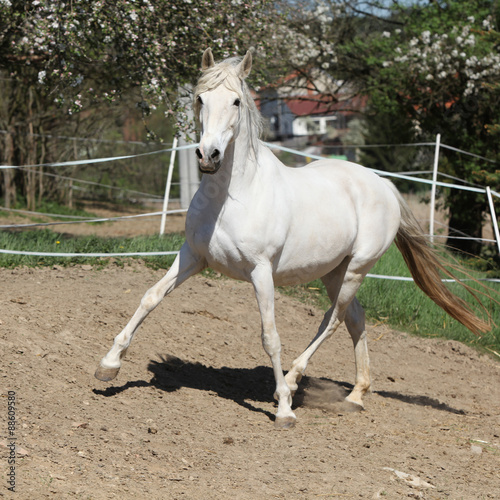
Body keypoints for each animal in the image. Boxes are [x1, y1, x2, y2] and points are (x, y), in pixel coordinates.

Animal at [94, 48, 488, 428]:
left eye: (236, 101)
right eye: (201, 98)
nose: (208, 156)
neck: (233, 196)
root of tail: (384, 185)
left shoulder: (260, 271)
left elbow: (270, 336)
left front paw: (284, 410)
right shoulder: (193, 255)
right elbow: (150, 297)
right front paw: (109, 365)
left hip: (357, 269)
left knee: (333, 320)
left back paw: (294, 381)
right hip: (334, 272)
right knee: (355, 320)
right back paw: (355, 396)